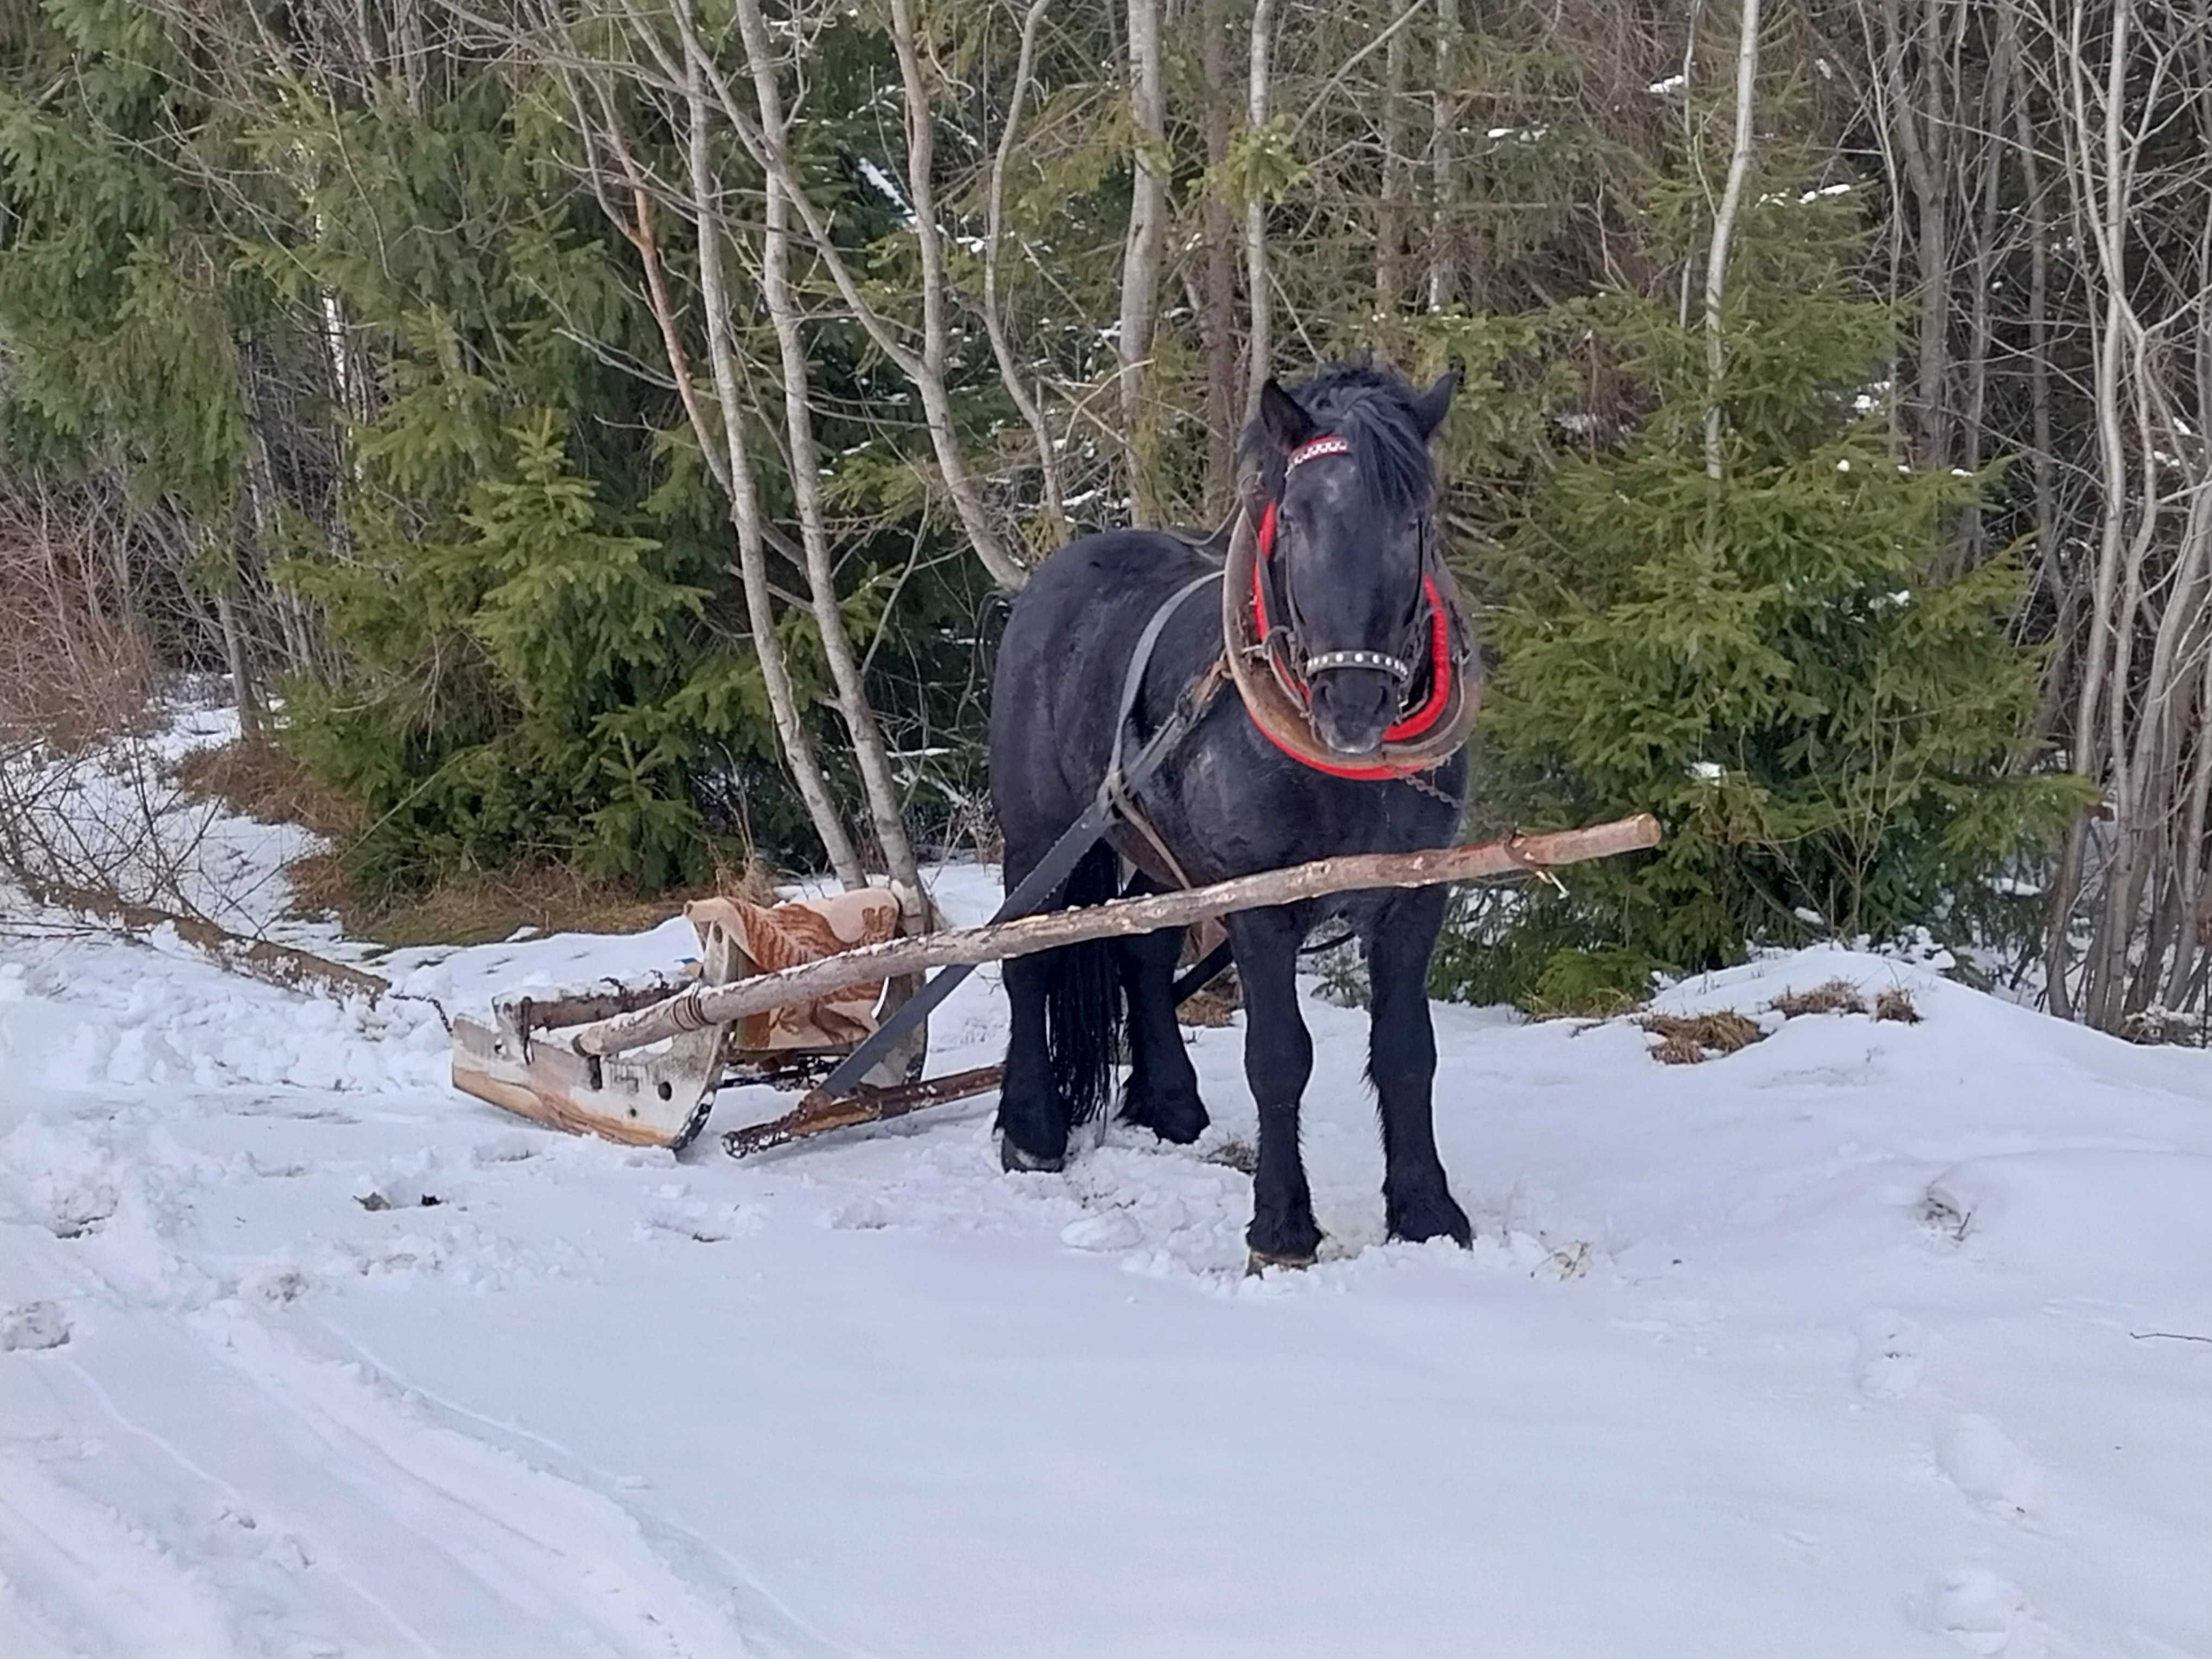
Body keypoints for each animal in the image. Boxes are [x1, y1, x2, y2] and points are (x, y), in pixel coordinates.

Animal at [986, 367, 1469, 1274]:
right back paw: (1030, 1128)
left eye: (1414, 518)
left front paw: (1427, 1212)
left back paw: (1170, 1104)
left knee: (1142, 953)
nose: (1353, 706)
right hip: (1038, 835)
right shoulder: (1259, 902)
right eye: (1298, 515)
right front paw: (1281, 1227)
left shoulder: (1413, 898)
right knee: (1027, 958)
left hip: (1159, 853)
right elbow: (1279, 1058)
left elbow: (1407, 1053)